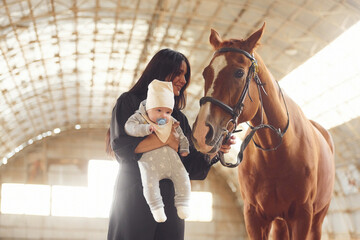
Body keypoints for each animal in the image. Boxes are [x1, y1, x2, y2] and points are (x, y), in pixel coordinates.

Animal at [193, 23, 336, 240]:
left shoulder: (302, 217)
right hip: (280, 222)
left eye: (239, 73)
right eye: (205, 73)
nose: (201, 132)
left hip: (317, 219)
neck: (276, 151)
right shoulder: (254, 217)